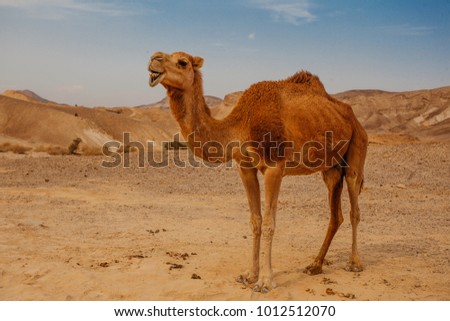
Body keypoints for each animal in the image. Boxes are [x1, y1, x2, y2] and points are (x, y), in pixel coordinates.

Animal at [149, 50, 368, 292]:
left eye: (183, 62)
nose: (154, 58)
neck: (241, 124)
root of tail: (352, 116)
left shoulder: (275, 166)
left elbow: (270, 222)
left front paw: (265, 281)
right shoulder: (245, 167)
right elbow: (255, 220)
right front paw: (249, 275)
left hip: (357, 146)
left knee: (354, 207)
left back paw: (354, 263)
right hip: (330, 168)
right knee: (335, 214)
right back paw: (315, 265)